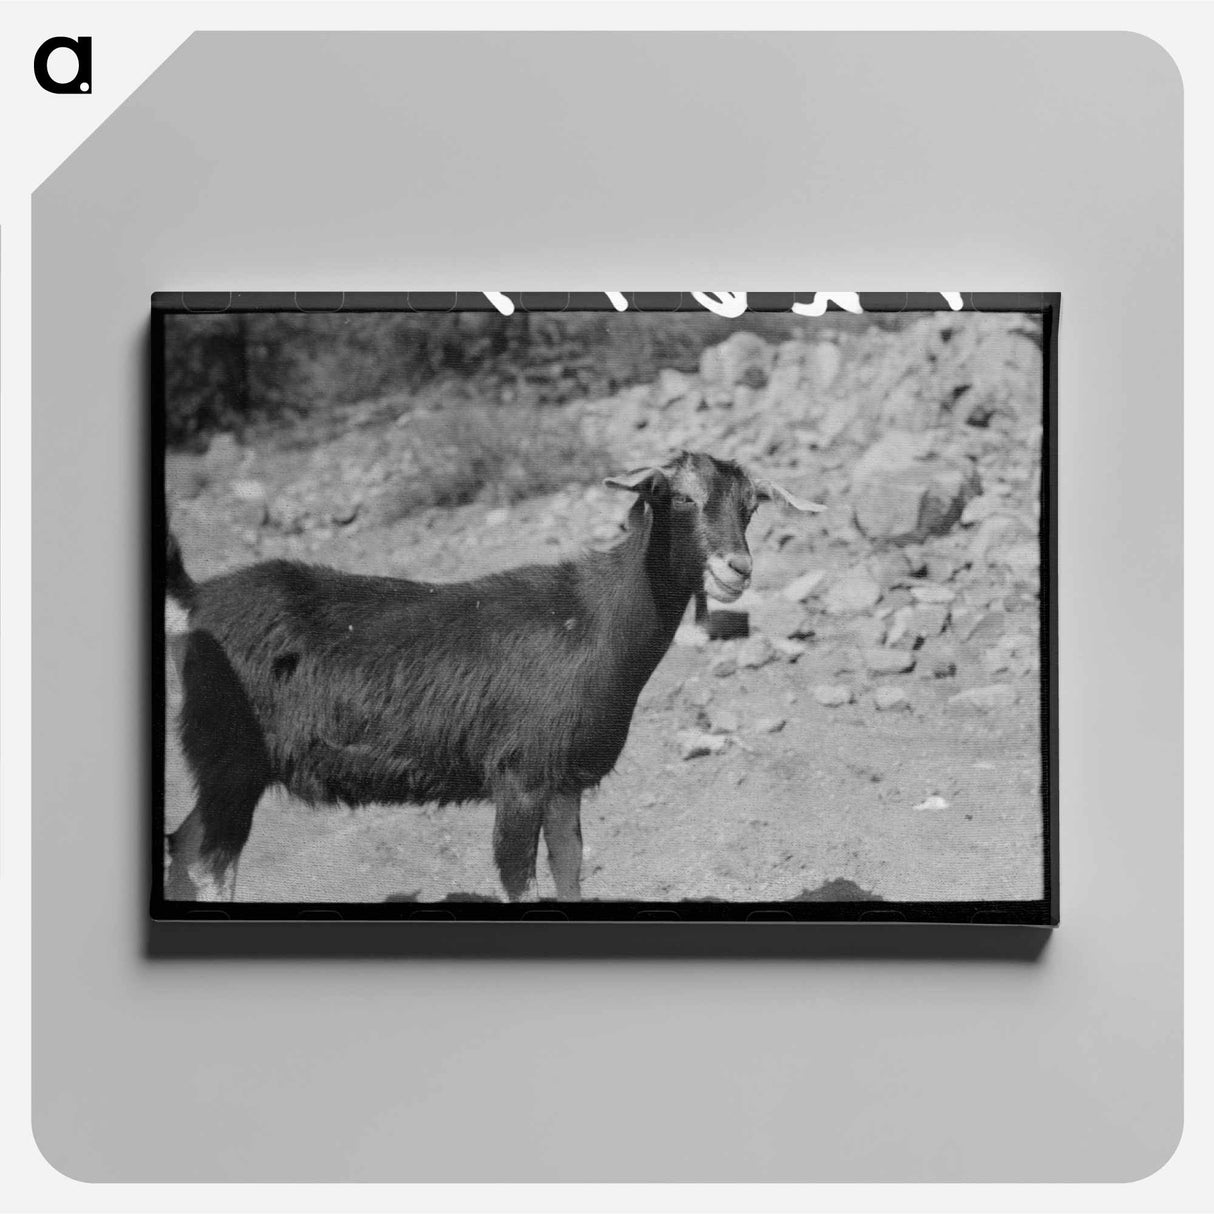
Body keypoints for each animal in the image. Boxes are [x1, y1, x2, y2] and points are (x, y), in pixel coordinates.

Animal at [163, 450, 823, 903]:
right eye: (679, 497)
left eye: (752, 506)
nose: (737, 568)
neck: (590, 620)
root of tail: (197, 599)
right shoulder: (519, 778)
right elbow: (519, 881)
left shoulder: (563, 780)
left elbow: (570, 871)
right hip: (234, 762)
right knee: (211, 861)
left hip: (225, 768)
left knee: (182, 846)